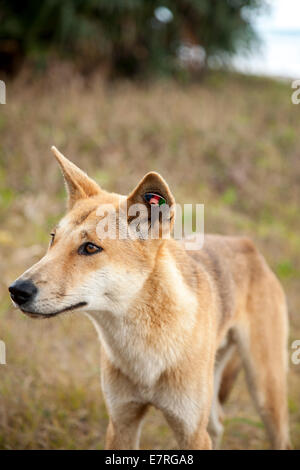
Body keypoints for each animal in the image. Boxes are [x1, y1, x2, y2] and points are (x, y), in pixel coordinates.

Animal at [9, 147, 290, 448]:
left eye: (90, 248)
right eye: (53, 238)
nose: (16, 290)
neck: (144, 353)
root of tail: (245, 243)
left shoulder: (190, 432)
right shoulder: (121, 422)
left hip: (266, 396)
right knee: (219, 423)